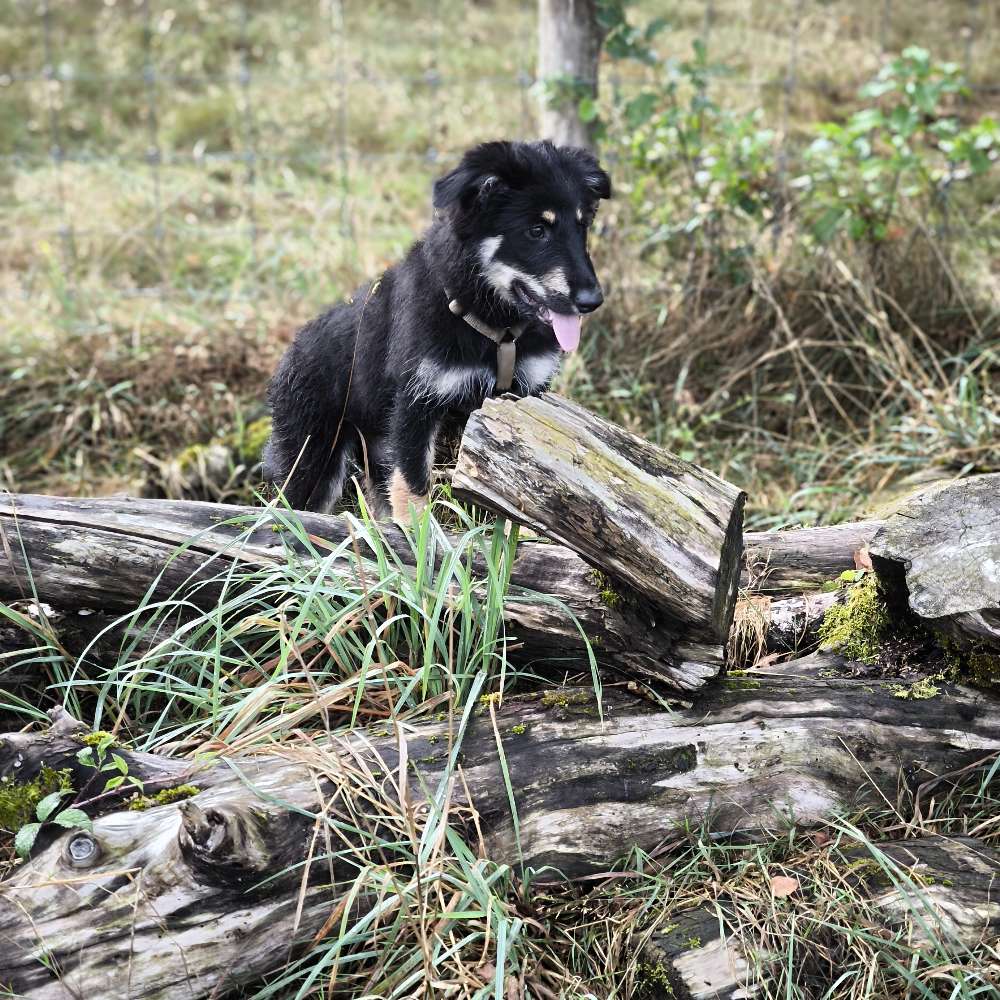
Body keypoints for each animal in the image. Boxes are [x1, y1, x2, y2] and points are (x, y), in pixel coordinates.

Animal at [262, 139, 608, 524]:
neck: (495, 328)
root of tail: (289, 355)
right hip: (312, 458)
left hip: (374, 449)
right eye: (537, 231)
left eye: (582, 227)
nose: (592, 301)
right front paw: (421, 537)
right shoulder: (417, 407)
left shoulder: (524, 404)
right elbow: (413, 489)